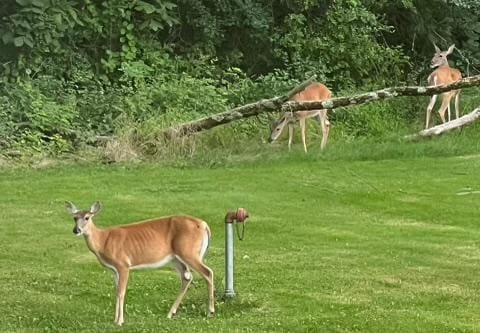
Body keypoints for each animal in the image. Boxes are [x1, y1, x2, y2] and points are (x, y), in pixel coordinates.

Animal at [64, 200, 215, 324]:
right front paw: (115, 319)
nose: (76, 230)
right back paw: (170, 313)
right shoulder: (114, 270)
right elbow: (116, 292)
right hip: (176, 259)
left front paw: (120, 321)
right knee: (187, 277)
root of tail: (204, 225)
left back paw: (210, 311)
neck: (103, 241)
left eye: (87, 217)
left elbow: (121, 292)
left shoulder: (123, 264)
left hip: (188, 251)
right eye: (74, 218)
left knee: (207, 272)